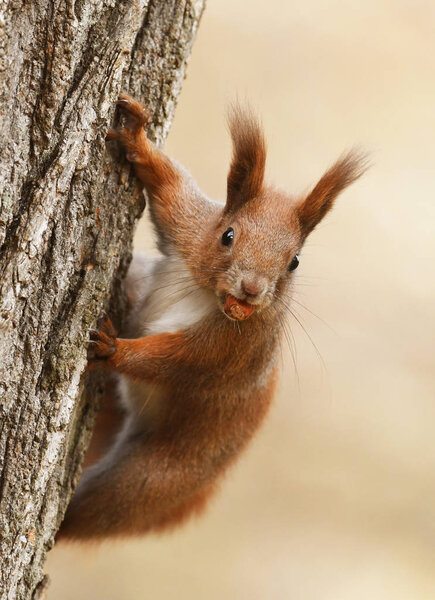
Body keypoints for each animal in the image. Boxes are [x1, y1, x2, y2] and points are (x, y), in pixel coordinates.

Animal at [58, 95, 364, 540]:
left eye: (294, 262)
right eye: (228, 235)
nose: (251, 288)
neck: (207, 294)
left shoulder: (235, 350)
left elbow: (176, 361)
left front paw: (113, 350)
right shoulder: (188, 229)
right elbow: (169, 187)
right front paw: (136, 138)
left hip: (151, 479)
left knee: (91, 513)